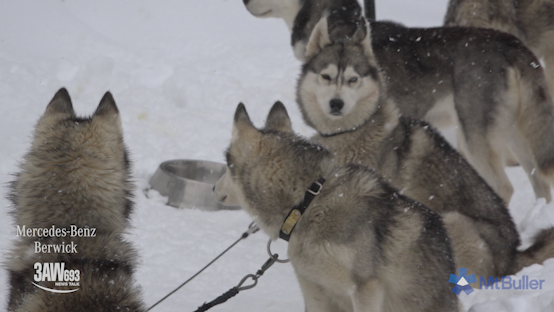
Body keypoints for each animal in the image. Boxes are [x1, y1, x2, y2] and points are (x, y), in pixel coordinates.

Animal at [298, 20, 554, 280]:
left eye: (353, 79)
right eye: (326, 76)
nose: (336, 104)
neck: (352, 132)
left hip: (465, 172)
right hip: (517, 136)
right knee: (540, 182)